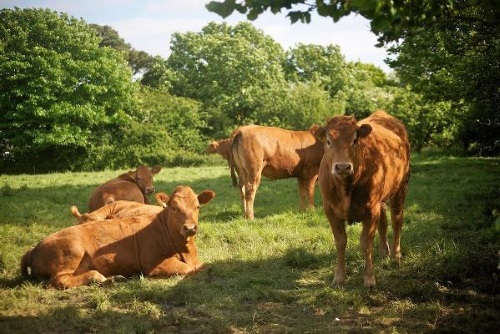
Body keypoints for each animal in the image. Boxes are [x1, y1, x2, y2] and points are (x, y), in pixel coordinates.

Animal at [21, 185, 215, 290]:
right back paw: (98, 277)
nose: (189, 228)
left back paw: (113, 278)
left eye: (197, 206)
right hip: (71, 252)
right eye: (173, 207)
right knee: (60, 280)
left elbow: (207, 266)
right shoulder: (153, 263)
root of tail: (34, 247)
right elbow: (187, 270)